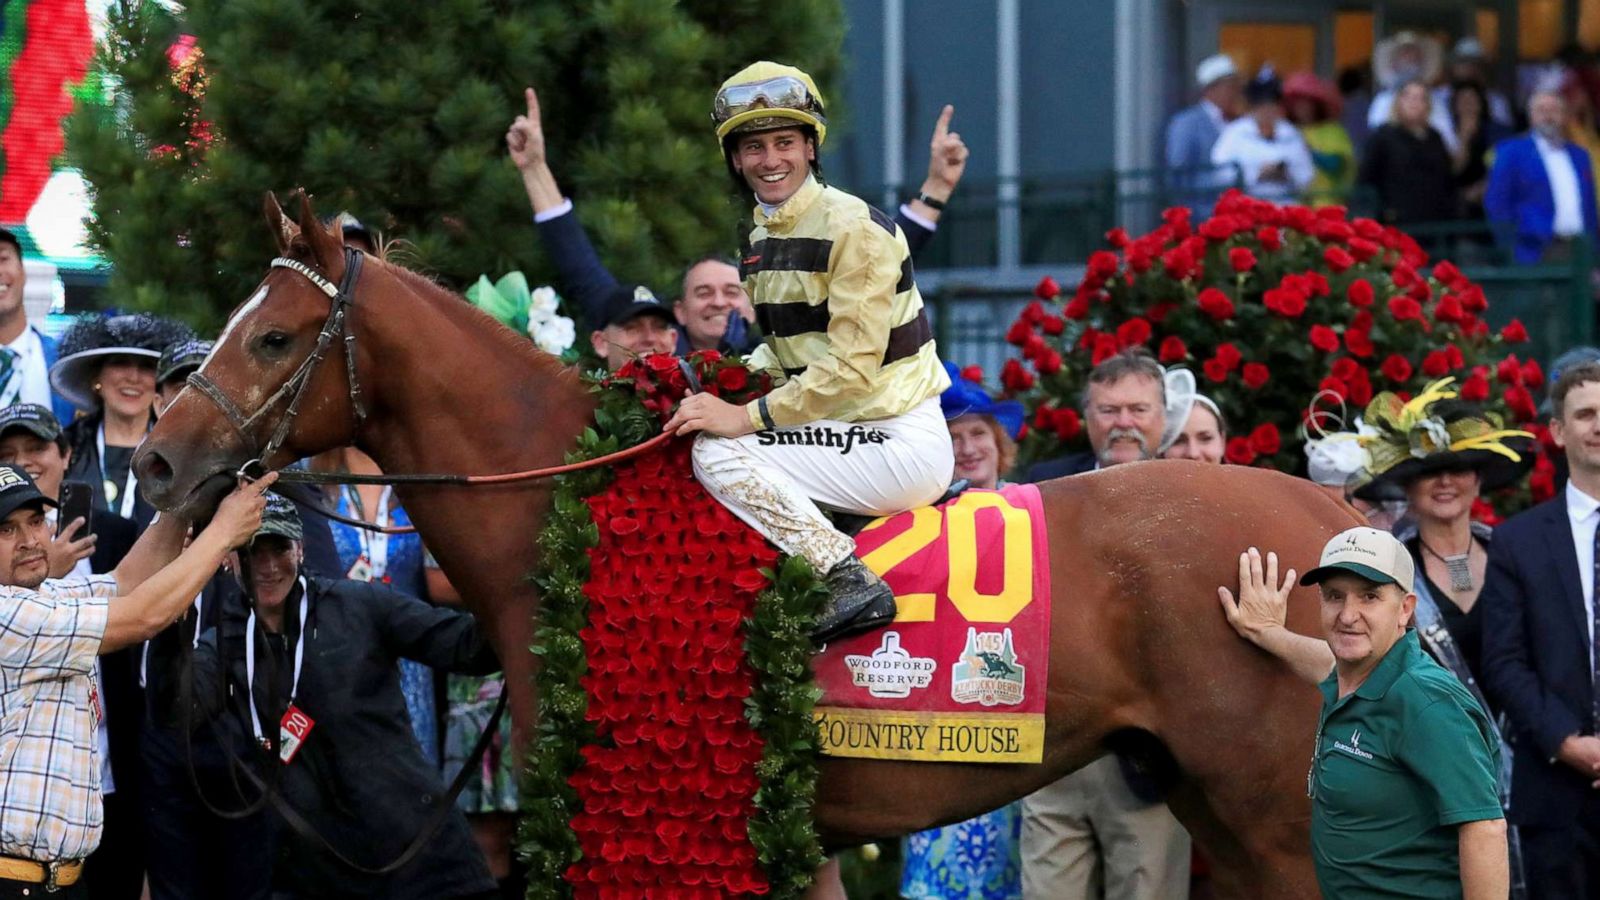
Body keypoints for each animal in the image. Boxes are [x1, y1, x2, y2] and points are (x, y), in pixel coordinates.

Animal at [144, 192, 1356, 890]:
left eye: (274, 336)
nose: (157, 460)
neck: (568, 514)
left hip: (1273, 814)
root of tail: (1334, 514)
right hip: (1221, 811)